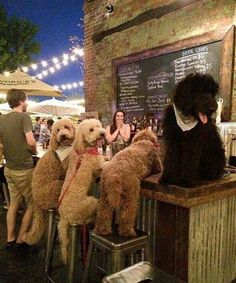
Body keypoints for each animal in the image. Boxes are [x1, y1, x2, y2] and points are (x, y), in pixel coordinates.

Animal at [57, 118, 105, 264]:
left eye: (98, 126)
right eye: (91, 130)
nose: (102, 133)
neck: (86, 150)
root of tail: (64, 217)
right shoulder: (98, 165)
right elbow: (104, 164)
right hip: (91, 202)